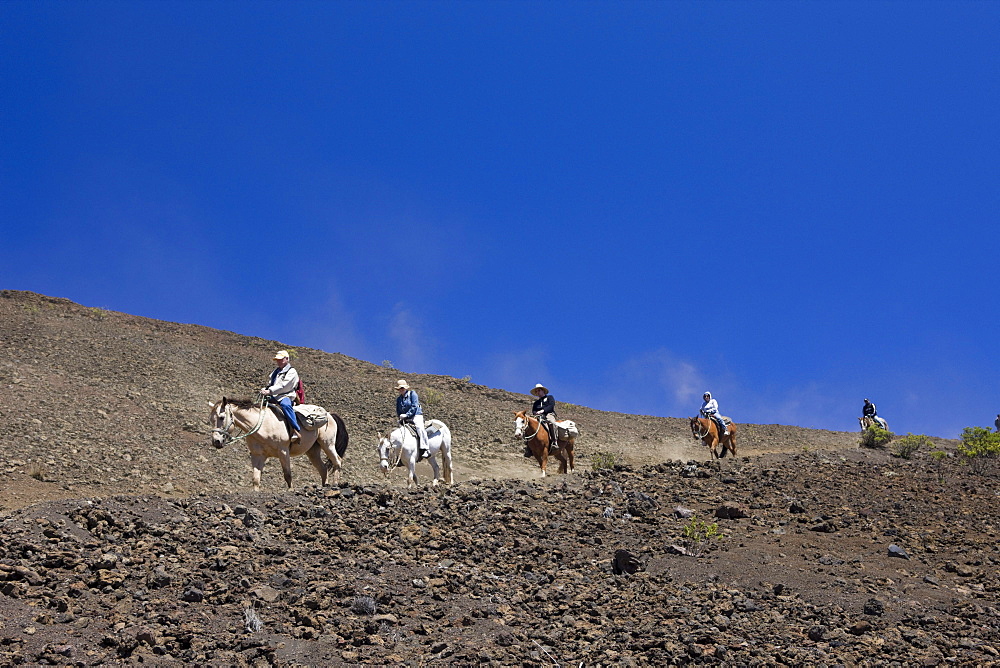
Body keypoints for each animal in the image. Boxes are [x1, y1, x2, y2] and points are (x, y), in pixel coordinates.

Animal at [207, 396, 348, 490]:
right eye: (211, 420)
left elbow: (287, 475)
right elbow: (256, 479)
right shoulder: (258, 455)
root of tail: (330, 415)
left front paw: (290, 491)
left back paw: (335, 485)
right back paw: (324, 486)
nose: (216, 442)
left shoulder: (283, 451)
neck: (263, 425)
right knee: (323, 468)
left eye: (221, 417)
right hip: (313, 451)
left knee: (338, 461)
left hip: (327, 444)